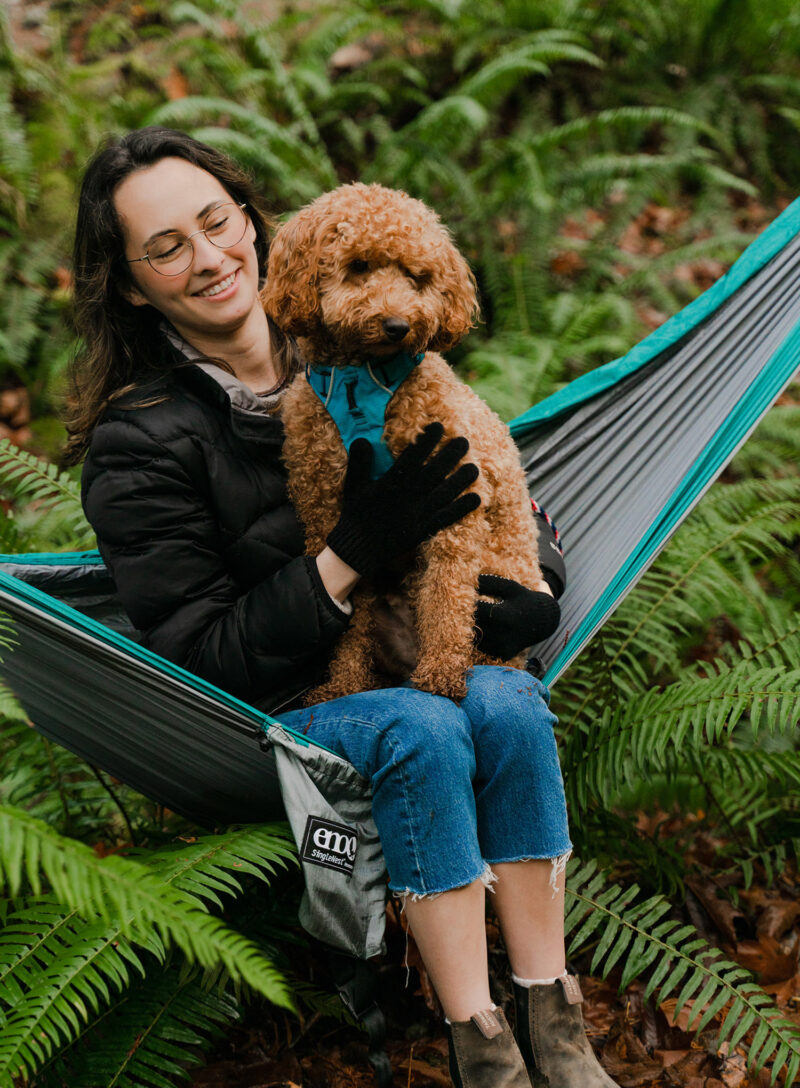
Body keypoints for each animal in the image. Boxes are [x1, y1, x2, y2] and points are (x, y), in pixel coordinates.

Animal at [263, 182, 550, 700]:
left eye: (418, 276)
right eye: (358, 265)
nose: (398, 325)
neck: (363, 380)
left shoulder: (456, 497)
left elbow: (446, 594)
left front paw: (441, 673)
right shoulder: (326, 509)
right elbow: (347, 612)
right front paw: (342, 684)